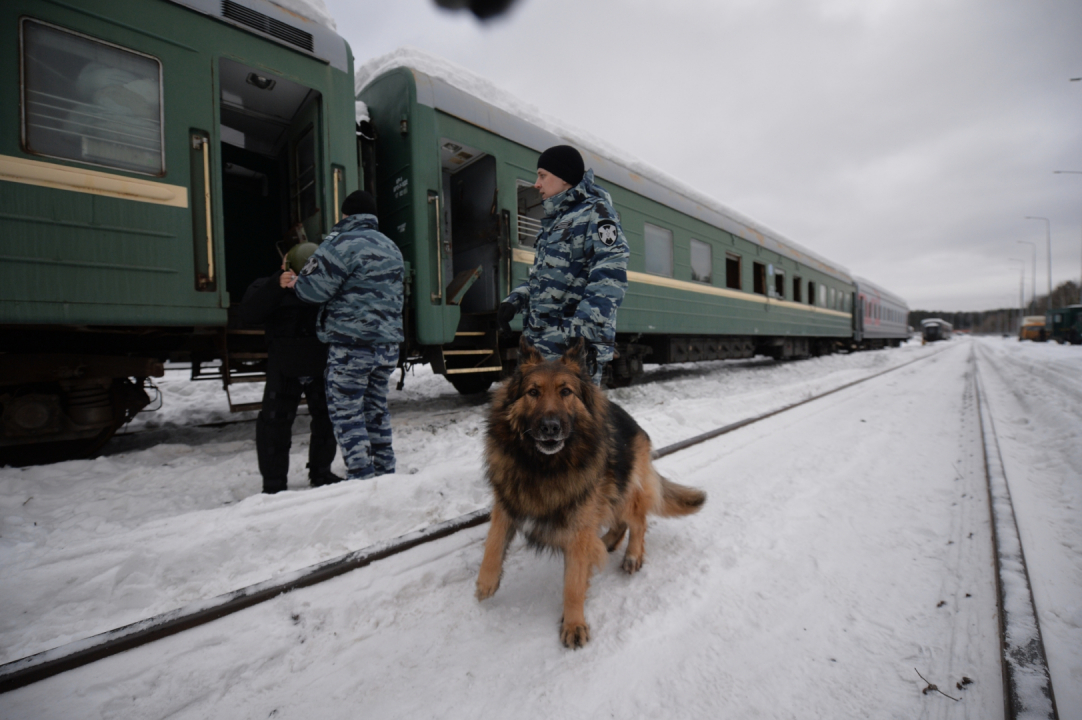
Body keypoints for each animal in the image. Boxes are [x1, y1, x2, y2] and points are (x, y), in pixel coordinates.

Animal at [478, 337, 705, 645]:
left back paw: (632, 554)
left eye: (566, 392)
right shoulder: (508, 499)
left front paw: (574, 624)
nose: (550, 427)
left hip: (621, 489)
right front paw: (486, 581)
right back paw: (607, 540)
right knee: (619, 522)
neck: (544, 466)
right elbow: (493, 541)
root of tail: (634, 423)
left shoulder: (578, 526)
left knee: (638, 520)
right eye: (533, 392)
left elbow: (573, 584)